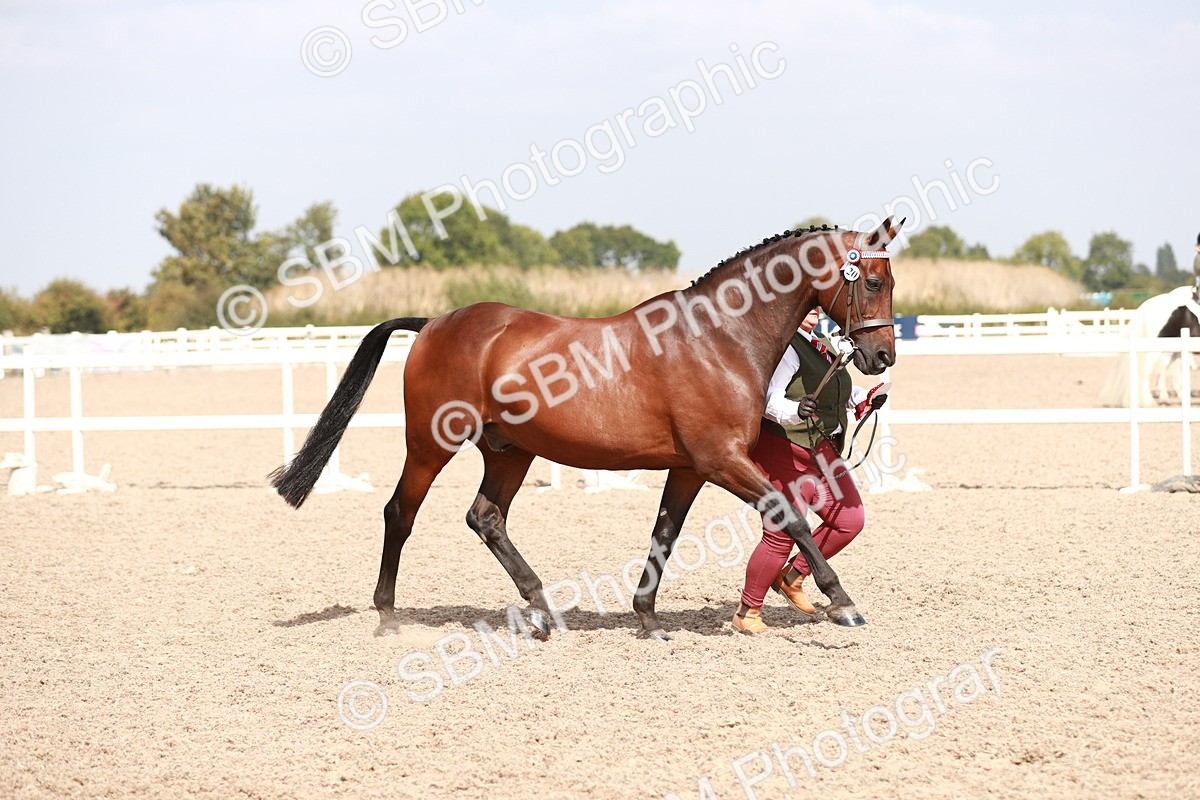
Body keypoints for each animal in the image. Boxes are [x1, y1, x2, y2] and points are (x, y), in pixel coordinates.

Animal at [270, 218, 903, 640]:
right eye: (872, 282)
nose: (881, 358)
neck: (719, 336)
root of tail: (435, 323)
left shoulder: (690, 468)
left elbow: (664, 533)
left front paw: (647, 618)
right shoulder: (722, 460)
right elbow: (789, 514)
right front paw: (841, 601)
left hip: (509, 451)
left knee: (485, 518)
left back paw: (542, 611)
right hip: (430, 444)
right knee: (400, 513)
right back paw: (387, 616)